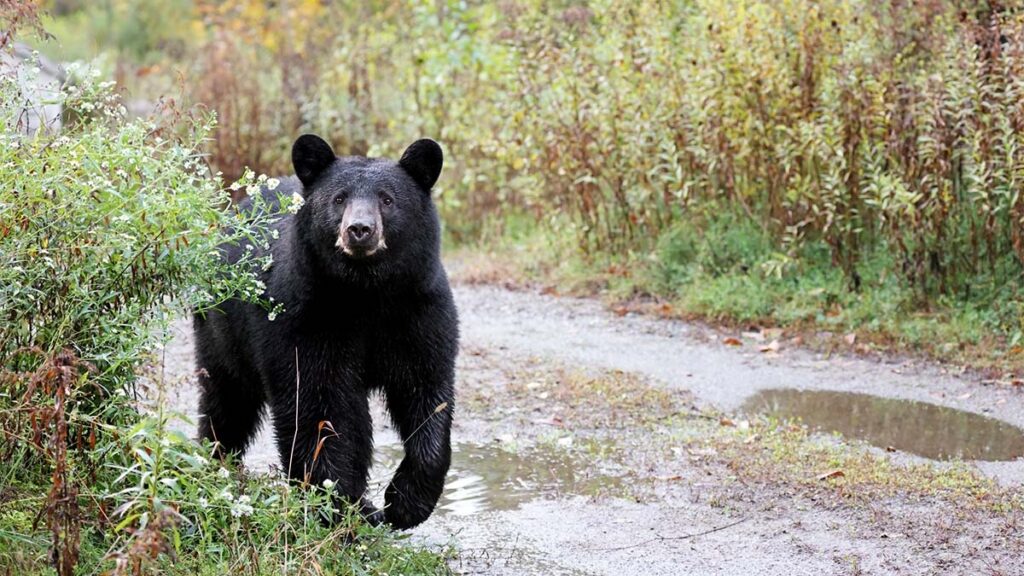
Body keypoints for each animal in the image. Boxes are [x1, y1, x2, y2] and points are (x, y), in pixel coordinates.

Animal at [193, 134, 457, 530]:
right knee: (226, 401)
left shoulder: (419, 311)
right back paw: (214, 461)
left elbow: (426, 391)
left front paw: (404, 502)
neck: (366, 292)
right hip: (220, 330)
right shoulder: (306, 315)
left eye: (387, 199)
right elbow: (317, 402)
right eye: (339, 198)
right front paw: (334, 503)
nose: (359, 230)